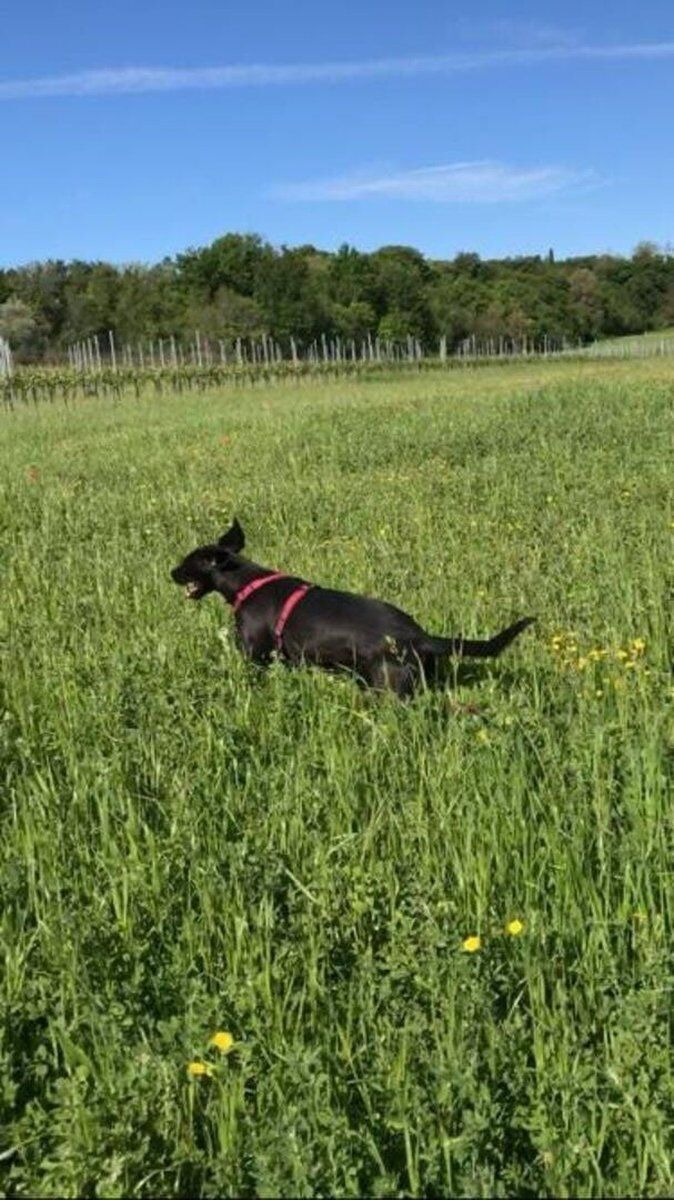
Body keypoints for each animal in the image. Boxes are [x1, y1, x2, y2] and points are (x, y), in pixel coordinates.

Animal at [170, 520, 532, 700]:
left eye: (187, 563)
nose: (170, 573)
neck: (247, 581)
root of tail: (420, 637)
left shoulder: (254, 654)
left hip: (387, 690)